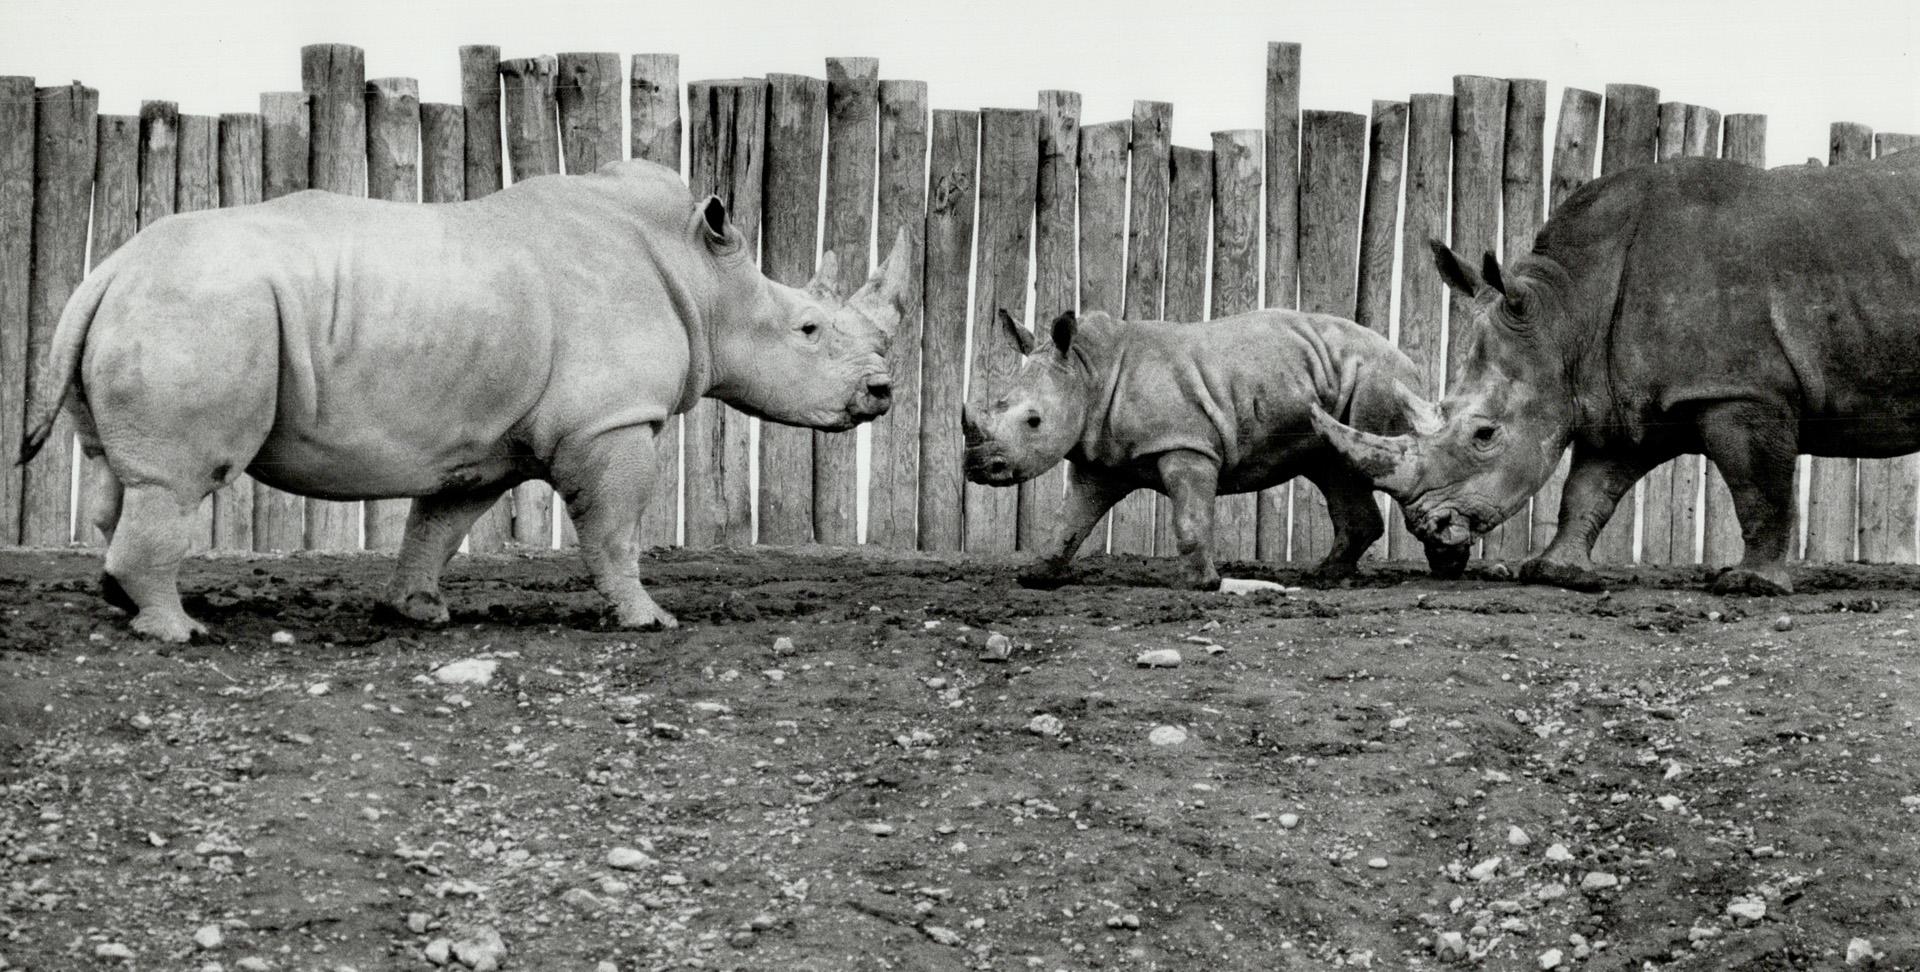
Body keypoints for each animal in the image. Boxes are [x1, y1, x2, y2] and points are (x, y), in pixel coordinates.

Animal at [19, 159, 911, 641]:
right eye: (808, 330)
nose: (882, 392)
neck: (705, 278)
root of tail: (107, 270)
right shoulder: (612, 419)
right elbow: (617, 528)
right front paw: (647, 620)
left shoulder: (486, 441)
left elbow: (439, 524)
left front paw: (419, 612)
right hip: (202, 310)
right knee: (178, 480)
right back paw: (181, 631)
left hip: (157, 306)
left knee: (119, 472)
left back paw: (123, 603)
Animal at [960, 308, 1469, 590]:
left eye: (1033, 421)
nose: (979, 467)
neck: (1087, 372)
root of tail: (1410, 362)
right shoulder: (1099, 458)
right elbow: (1070, 521)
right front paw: (1036, 576)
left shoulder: (1187, 446)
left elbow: (1190, 518)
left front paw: (1202, 584)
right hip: (1335, 386)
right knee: (1334, 469)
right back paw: (1325, 577)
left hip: (1377, 381)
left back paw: (1443, 564)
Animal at [1312, 150, 1920, 595]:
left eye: (1484, 434)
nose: (1426, 526)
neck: (1566, 314)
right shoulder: (1614, 393)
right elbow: (1587, 488)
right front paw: (1554, 572)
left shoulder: (1741, 389)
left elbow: (1758, 489)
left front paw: (1752, 585)